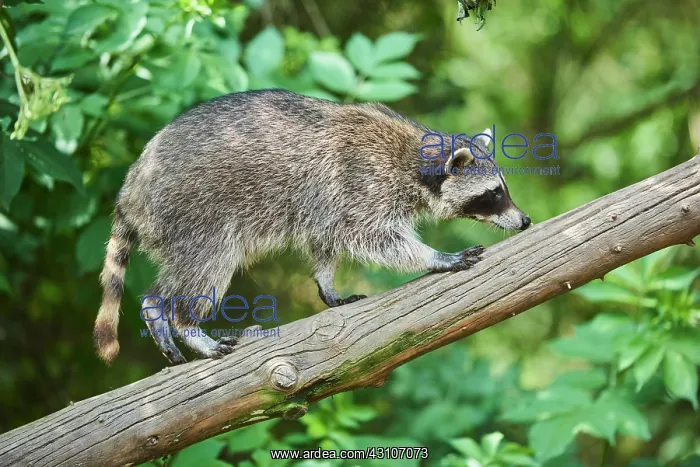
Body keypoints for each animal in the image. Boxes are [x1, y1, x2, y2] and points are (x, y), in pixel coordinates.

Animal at [93, 89, 530, 365]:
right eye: (493, 194)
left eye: (503, 189)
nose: (524, 220)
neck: (415, 158)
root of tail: (134, 182)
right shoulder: (362, 182)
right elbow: (373, 237)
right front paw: (435, 257)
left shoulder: (329, 205)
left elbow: (326, 240)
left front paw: (326, 281)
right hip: (195, 213)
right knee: (208, 267)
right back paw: (185, 322)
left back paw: (157, 306)